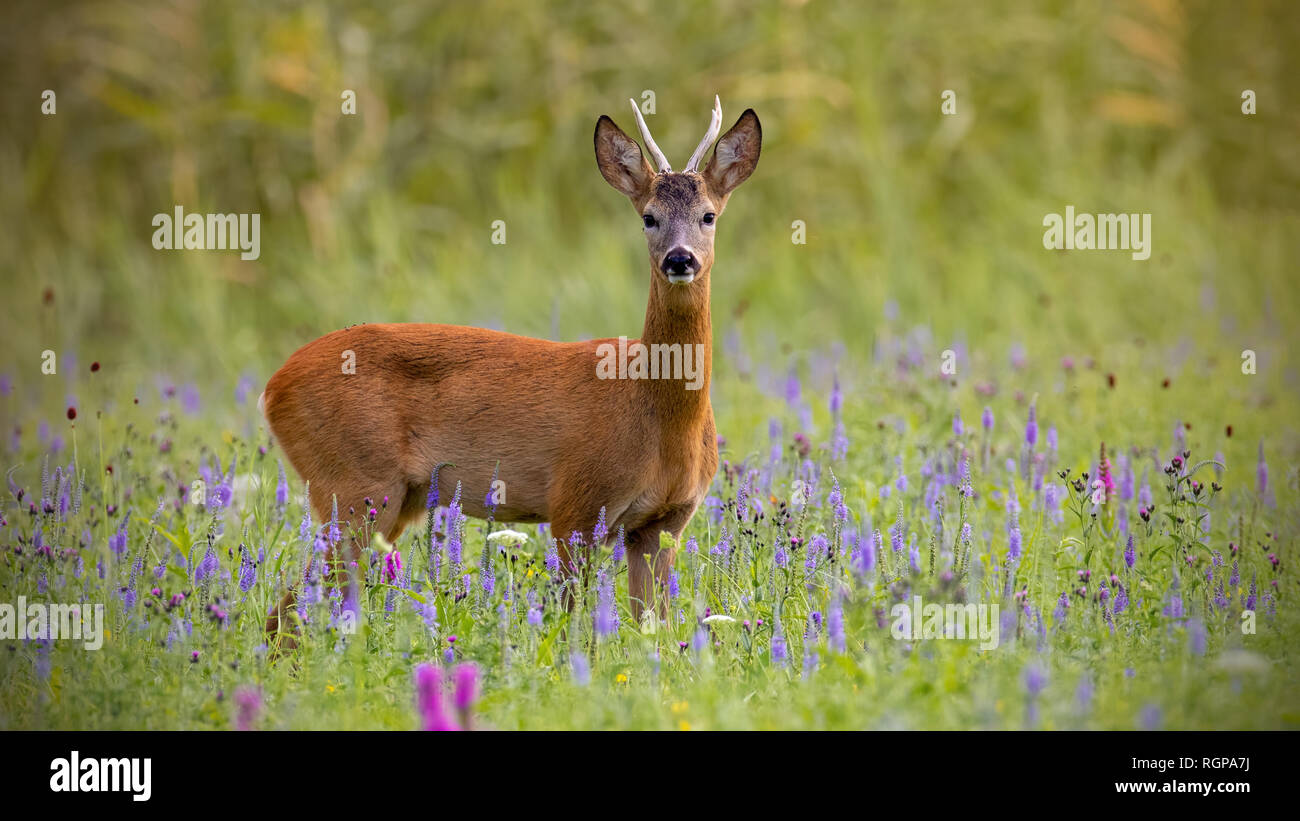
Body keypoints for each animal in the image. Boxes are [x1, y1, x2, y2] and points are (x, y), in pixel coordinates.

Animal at [262, 98, 759, 646]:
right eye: (649, 217)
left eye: (708, 215)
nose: (679, 258)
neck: (657, 412)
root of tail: (273, 386)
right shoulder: (575, 503)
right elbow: (570, 624)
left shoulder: (665, 520)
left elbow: (654, 628)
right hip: (355, 483)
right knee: (291, 609)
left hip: (386, 499)